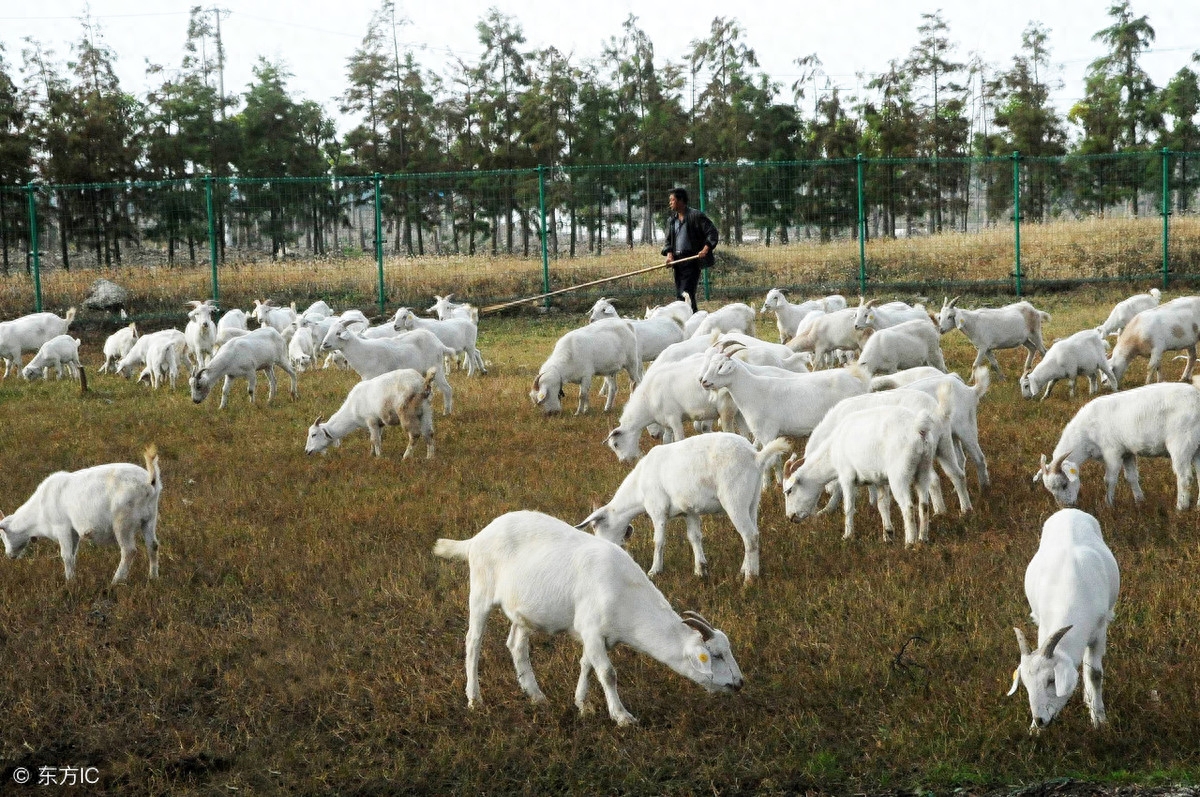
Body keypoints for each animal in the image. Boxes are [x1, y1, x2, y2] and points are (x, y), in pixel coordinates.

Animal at [0, 444, 162, 583]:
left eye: (3, 534)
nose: (9, 555)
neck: (38, 512)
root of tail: (149, 482)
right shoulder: (74, 533)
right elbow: (73, 555)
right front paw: (73, 577)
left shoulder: (62, 528)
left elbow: (66, 556)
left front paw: (69, 581)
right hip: (150, 518)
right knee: (152, 545)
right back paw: (153, 578)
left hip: (123, 522)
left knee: (129, 551)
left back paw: (116, 581)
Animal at [304, 364, 436, 458]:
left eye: (314, 434)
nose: (307, 451)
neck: (352, 411)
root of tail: (423, 384)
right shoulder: (379, 423)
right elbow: (375, 439)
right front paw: (372, 454)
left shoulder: (371, 420)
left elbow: (375, 440)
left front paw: (379, 457)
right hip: (426, 410)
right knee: (429, 433)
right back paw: (430, 458)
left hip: (407, 412)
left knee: (415, 435)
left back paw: (406, 457)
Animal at [432, 511, 739, 729]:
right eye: (715, 655)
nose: (739, 684)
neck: (626, 593)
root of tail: (477, 538)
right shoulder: (591, 630)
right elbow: (608, 673)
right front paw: (622, 717)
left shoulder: (598, 636)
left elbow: (587, 665)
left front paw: (583, 705)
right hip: (480, 592)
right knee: (473, 643)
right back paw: (475, 699)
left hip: (523, 611)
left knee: (516, 645)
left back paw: (536, 696)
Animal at [578, 432, 787, 583]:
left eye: (595, 526)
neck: (638, 488)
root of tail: (756, 456)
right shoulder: (689, 511)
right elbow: (694, 538)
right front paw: (700, 570)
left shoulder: (658, 510)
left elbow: (659, 541)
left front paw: (655, 571)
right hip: (752, 501)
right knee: (754, 533)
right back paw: (746, 570)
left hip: (735, 498)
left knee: (750, 536)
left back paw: (749, 579)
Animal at [1008, 506, 1118, 729]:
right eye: (1025, 684)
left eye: (1051, 680)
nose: (1040, 720)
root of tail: (1069, 510)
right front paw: (1033, 730)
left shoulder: (1099, 631)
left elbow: (1094, 674)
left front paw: (1099, 719)